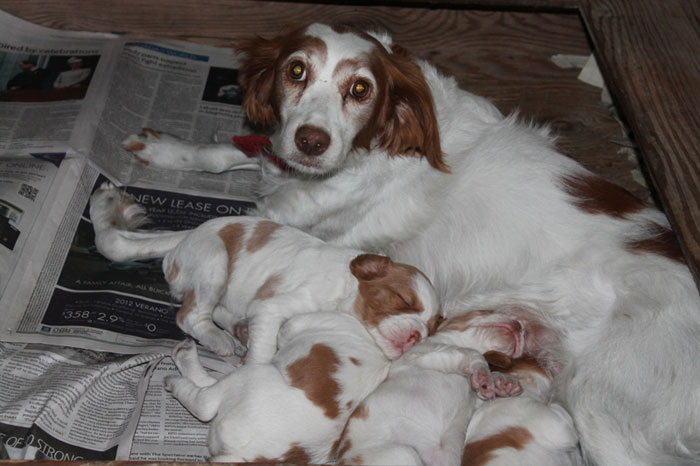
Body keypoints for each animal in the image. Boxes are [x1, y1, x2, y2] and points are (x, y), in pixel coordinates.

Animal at [116, 22, 700, 466]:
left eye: (360, 90)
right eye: (296, 70)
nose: (312, 141)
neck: (380, 147)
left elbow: (181, 234)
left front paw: (116, 228)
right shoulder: (283, 169)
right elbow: (233, 152)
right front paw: (166, 150)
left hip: (609, 421)